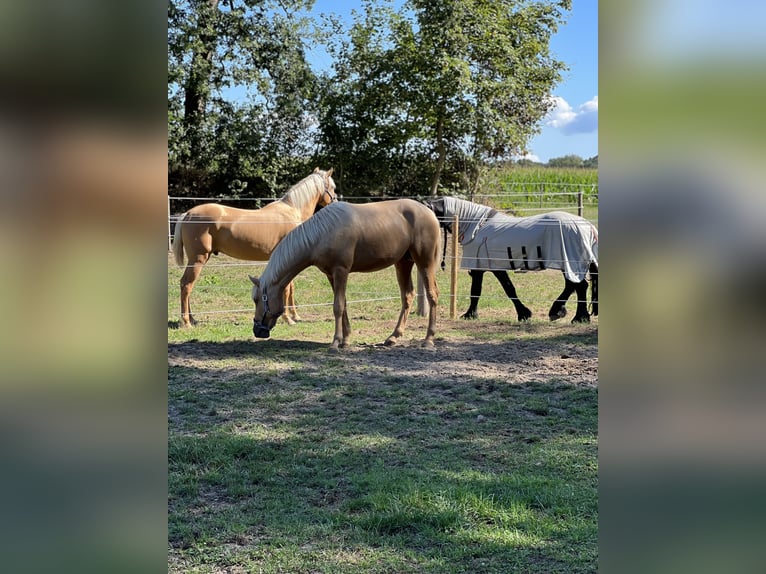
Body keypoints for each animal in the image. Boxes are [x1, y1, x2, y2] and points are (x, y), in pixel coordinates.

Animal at [174, 169, 336, 326]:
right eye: (333, 187)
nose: (335, 202)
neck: (292, 211)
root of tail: (188, 214)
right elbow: (286, 289)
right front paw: (288, 319)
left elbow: (291, 288)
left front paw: (295, 316)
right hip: (197, 260)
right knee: (186, 285)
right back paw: (186, 322)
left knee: (187, 285)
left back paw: (193, 319)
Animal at [250, 198, 440, 352]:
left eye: (258, 299)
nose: (257, 330)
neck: (323, 233)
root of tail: (429, 212)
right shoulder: (331, 275)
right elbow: (344, 304)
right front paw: (346, 340)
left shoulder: (341, 271)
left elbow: (338, 306)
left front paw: (335, 342)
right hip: (403, 263)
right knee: (407, 295)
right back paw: (393, 337)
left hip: (424, 262)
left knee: (432, 294)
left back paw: (428, 340)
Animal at [426, 197, 600, 324]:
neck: (477, 226)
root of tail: (588, 226)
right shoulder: (487, 267)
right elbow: (496, 289)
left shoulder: (483, 267)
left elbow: (487, 290)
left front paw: (470, 315)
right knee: (576, 286)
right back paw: (570, 314)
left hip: (569, 263)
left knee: (578, 286)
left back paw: (572, 315)